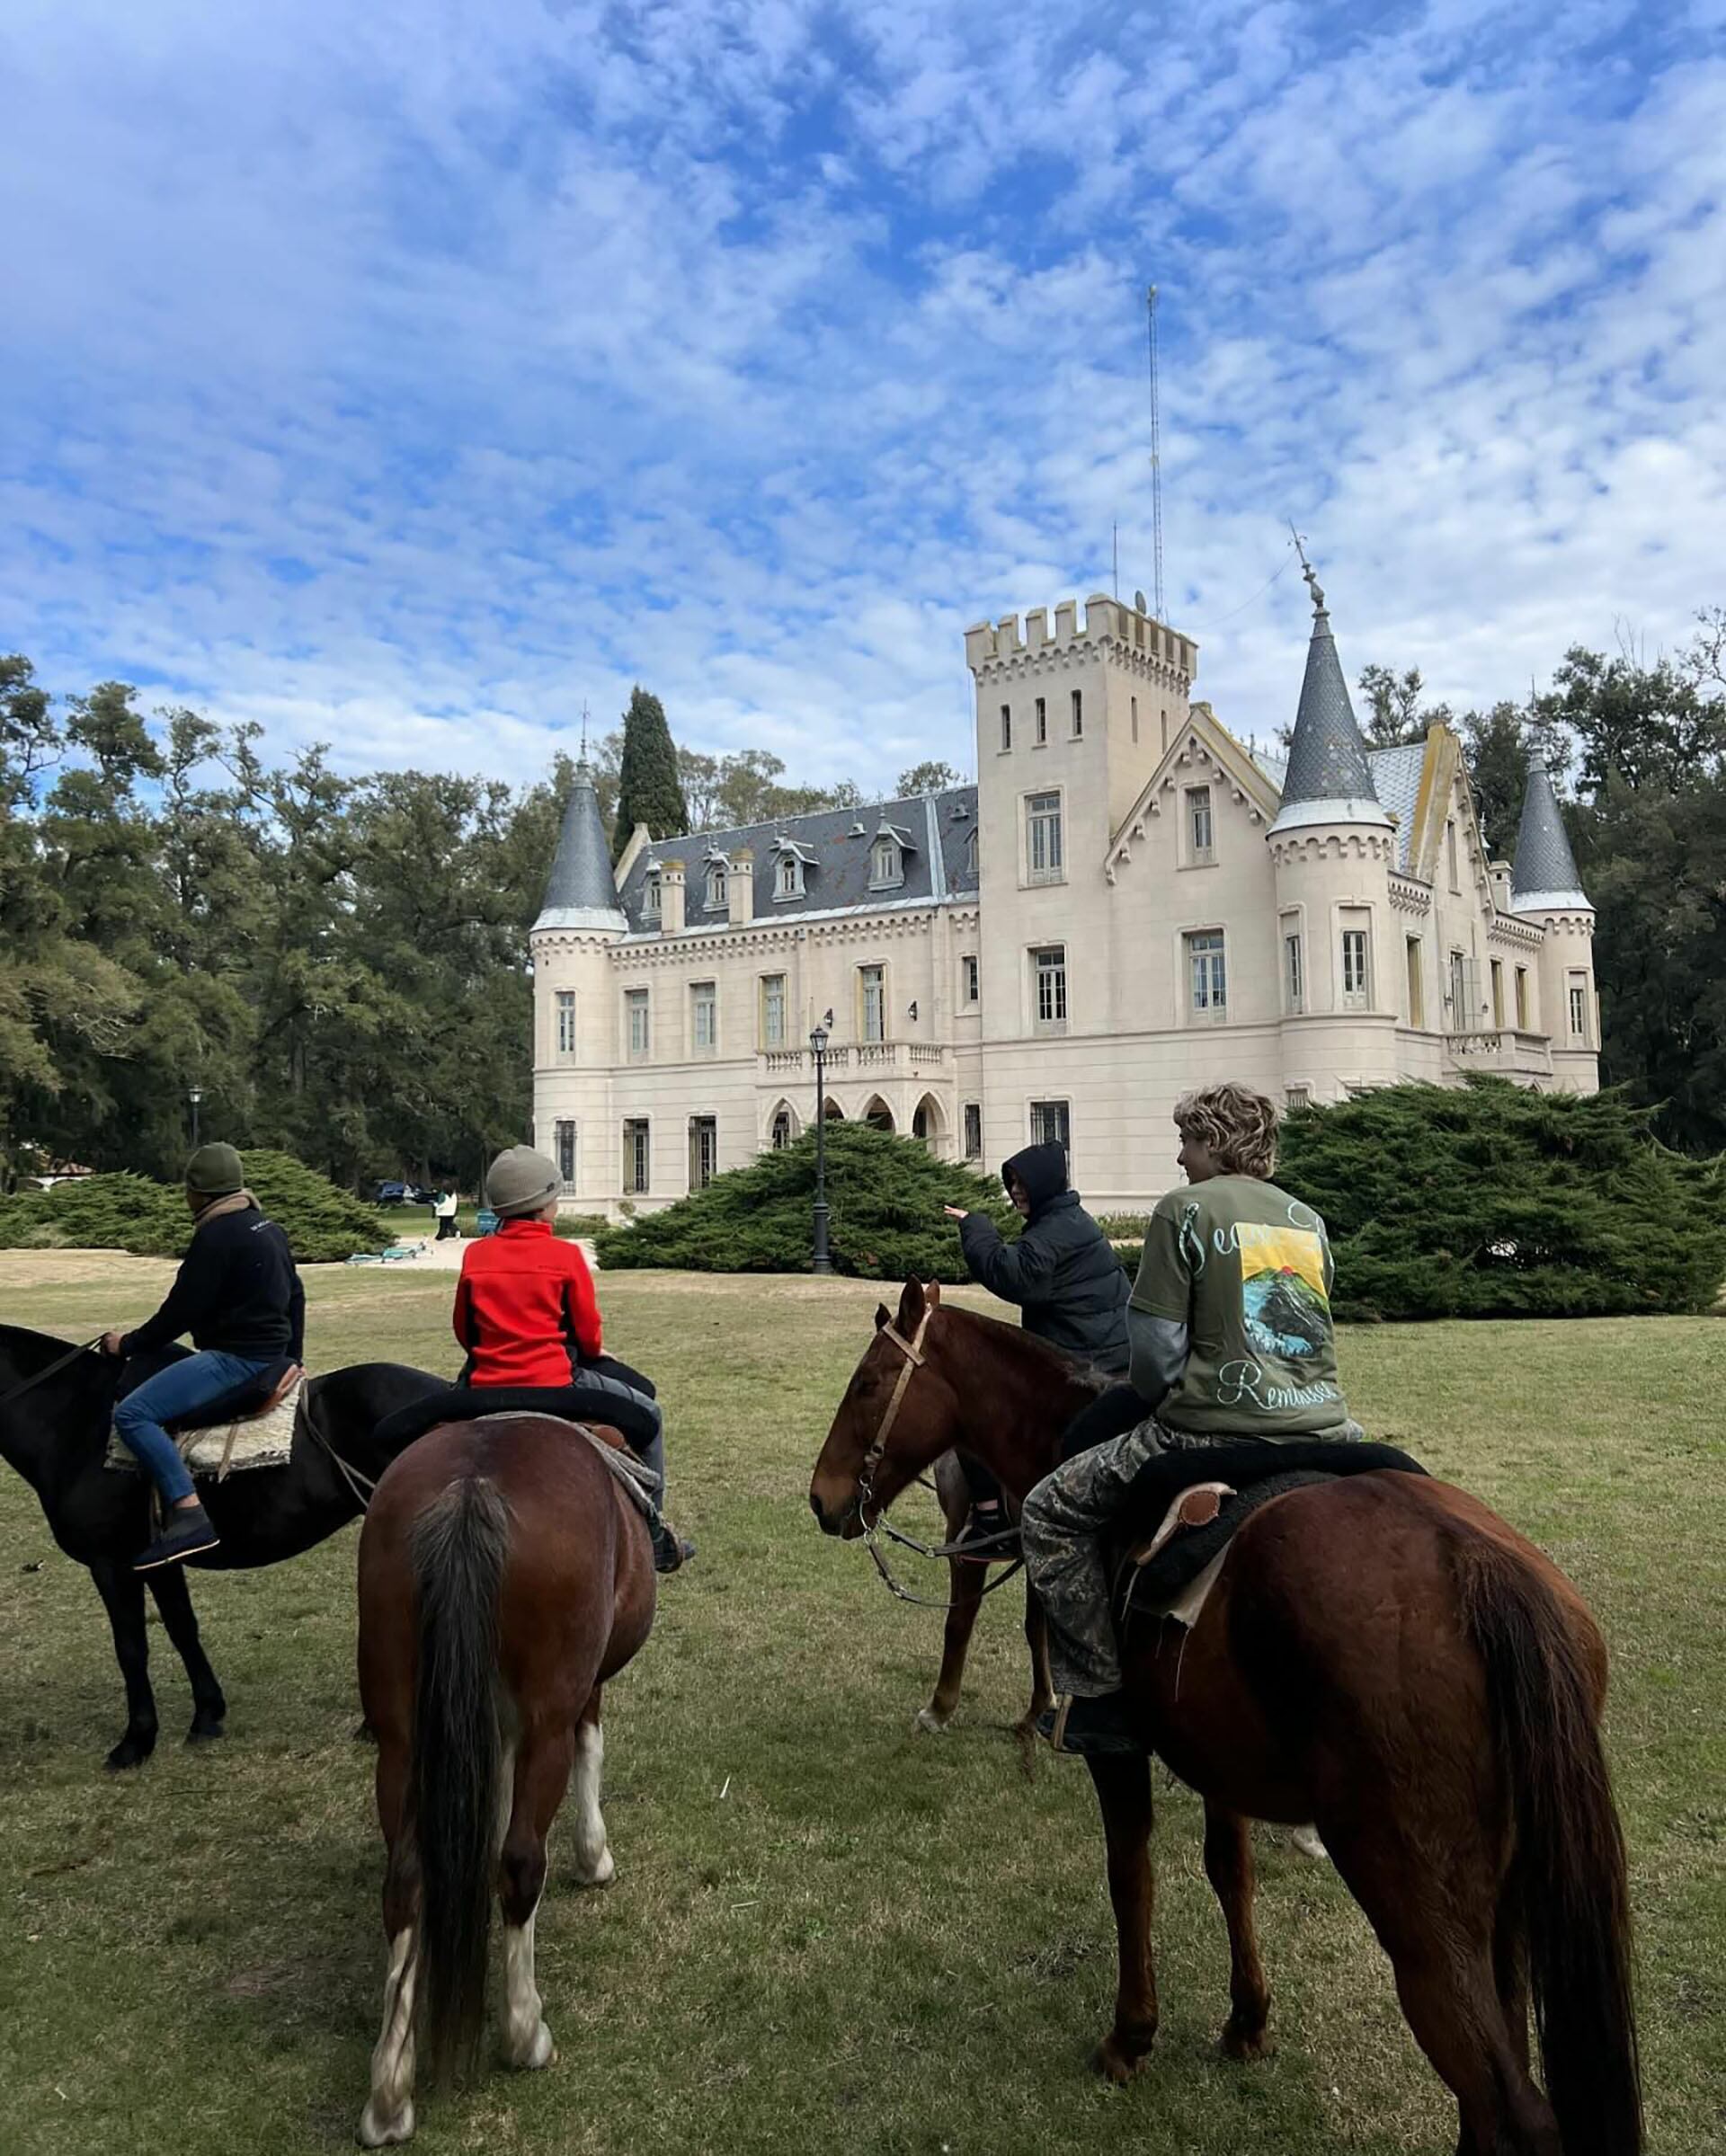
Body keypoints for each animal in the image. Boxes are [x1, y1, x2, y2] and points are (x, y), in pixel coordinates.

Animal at [1, 1327, 444, 1768]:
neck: (77, 1423)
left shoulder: (111, 1563)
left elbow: (131, 1647)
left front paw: (136, 1741)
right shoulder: (159, 1563)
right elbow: (182, 1628)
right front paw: (206, 1715)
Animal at [349, 1414, 655, 2138]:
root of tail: (471, 1488)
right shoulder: (580, 1691)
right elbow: (589, 1751)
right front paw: (594, 1858)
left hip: (401, 1735)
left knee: (406, 1880)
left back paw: (389, 2094)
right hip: (548, 1706)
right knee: (520, 1863)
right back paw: (524, 2035)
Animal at [811, 1276, 1648, 2156]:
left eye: (866, 1382)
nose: (822, 1497)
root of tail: (1482, 1570)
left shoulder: (1121, 1748)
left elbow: (1130, 1872)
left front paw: (1132, 2034)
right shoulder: (1217, 1753)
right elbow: (1229, 1871)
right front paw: (1247, 2020)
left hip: (1419, 1905)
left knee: (1506, 2105)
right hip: (1507, 1899)